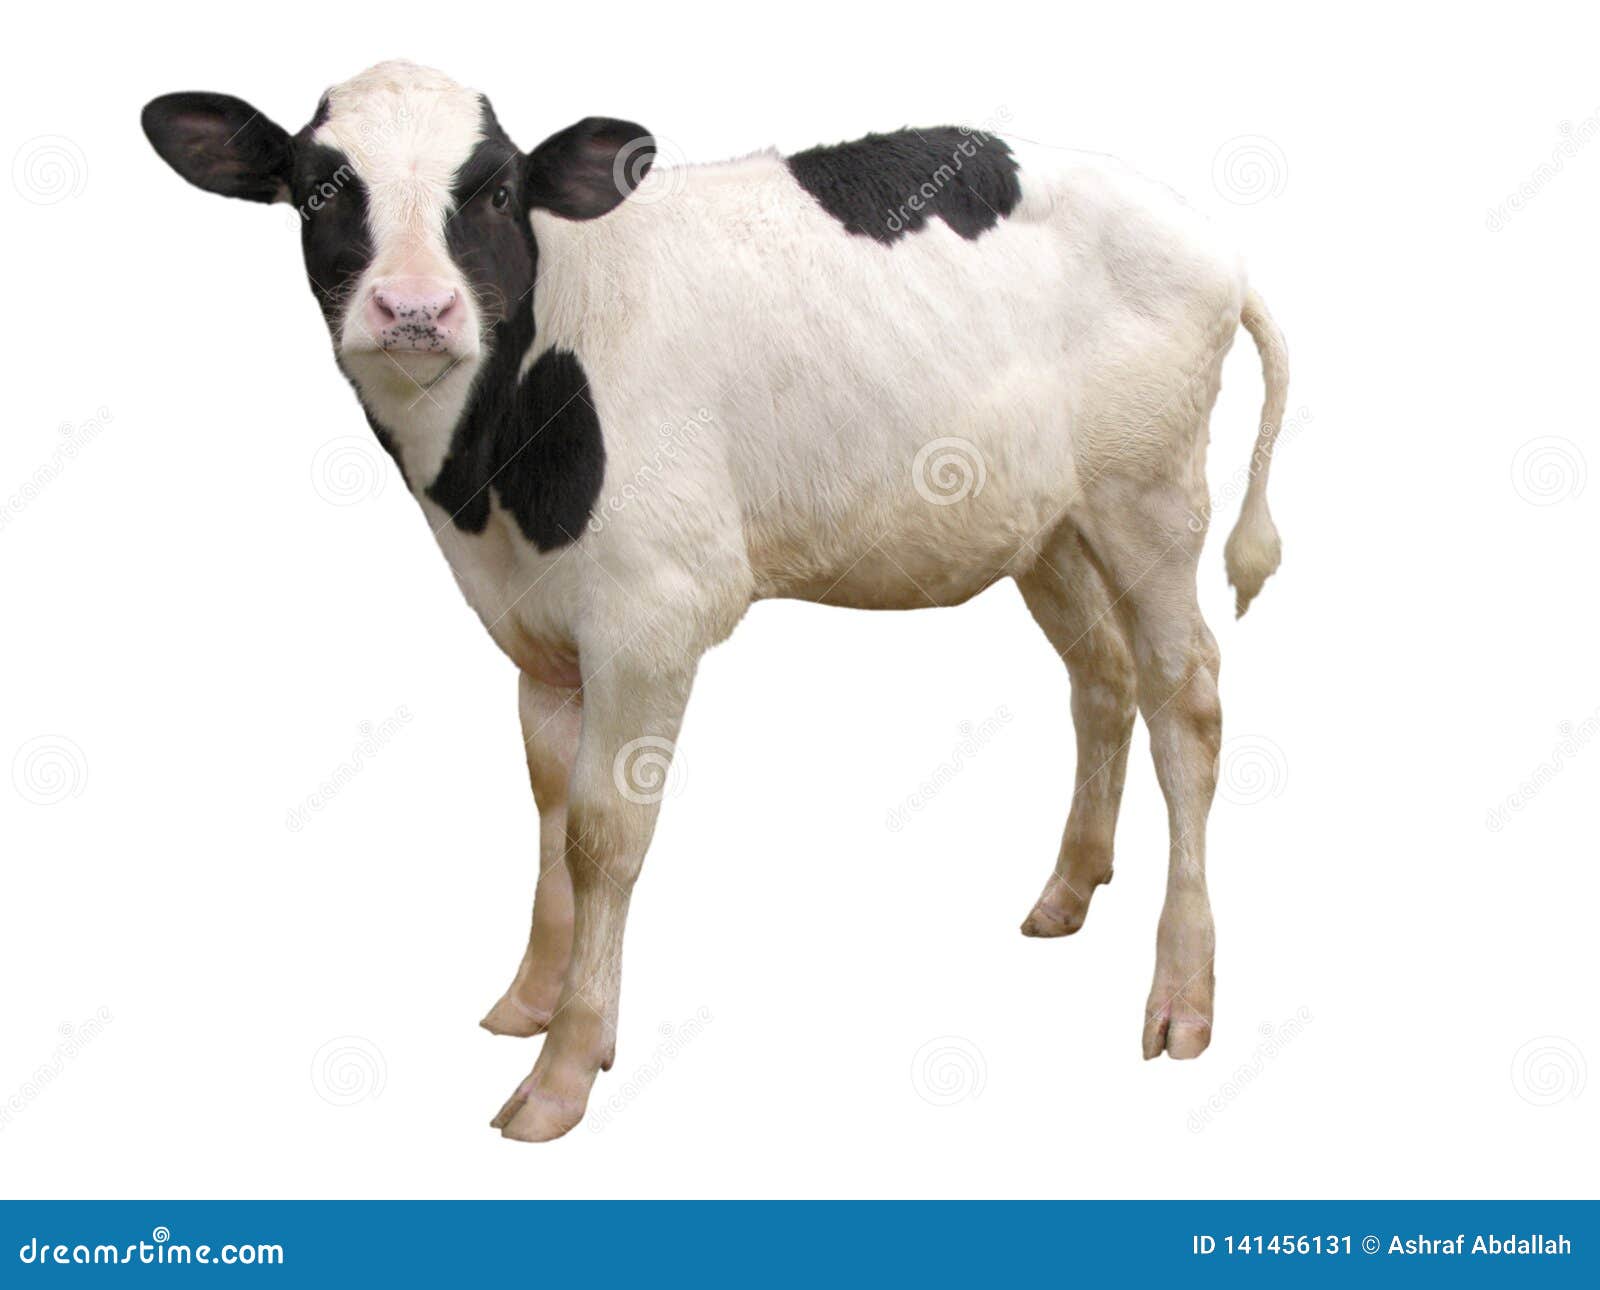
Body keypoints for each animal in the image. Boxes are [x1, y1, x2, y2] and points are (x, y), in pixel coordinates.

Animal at [141, 60, 1290, 1142]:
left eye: (497, 190)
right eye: (320, 187)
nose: (414, 310)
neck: (486, 479)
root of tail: (1211, 244)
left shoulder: (650, 617)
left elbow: (603, 834)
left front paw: (565, 1067)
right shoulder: (537, 632)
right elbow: (548, 808)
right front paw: (532, 998)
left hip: (1149, 499)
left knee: (1185, 702)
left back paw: (1181, 994)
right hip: (1048, 524)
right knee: (1101, 680)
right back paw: (1066, 891)